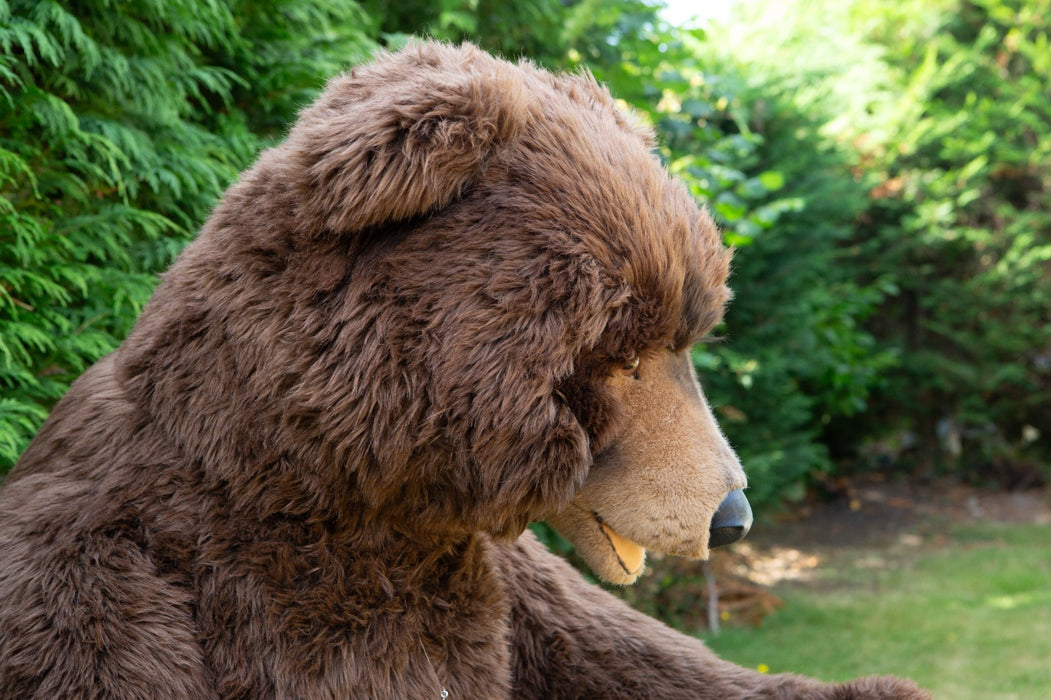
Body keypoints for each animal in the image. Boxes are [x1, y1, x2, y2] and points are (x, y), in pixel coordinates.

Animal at [0, 42, 929, 699]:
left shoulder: (490, 577)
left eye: (687, 342)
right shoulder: (129, 568)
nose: (732, 515)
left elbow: (639, 657)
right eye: (624, 355)